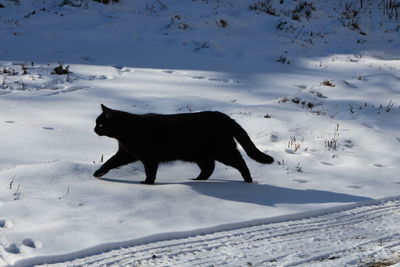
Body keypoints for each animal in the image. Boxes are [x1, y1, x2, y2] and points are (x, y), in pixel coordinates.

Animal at [94, 104, 276, 184]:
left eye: (101, 124)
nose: (94, 129)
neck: (127, 130)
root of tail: (223, 116)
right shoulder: (126, 153)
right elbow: (110, 162)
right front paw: (98, 173)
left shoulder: (149, 157)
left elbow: (150, 172)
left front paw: (147, 183)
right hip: (200, 155)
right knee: (209, 167)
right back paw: (197, 179)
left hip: (224, 151)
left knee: (240, 162)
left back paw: (248, 180)